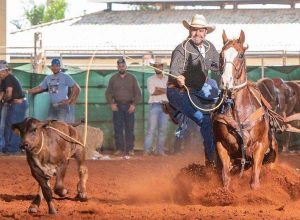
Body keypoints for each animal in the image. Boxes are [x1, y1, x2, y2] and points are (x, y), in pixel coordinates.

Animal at [212, 30, 278, 190]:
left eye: (241, 54)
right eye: (221, 54)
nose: (226, 81)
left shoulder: (260, 146)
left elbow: (254, 180)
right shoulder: (220, 145)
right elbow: (225, 177)